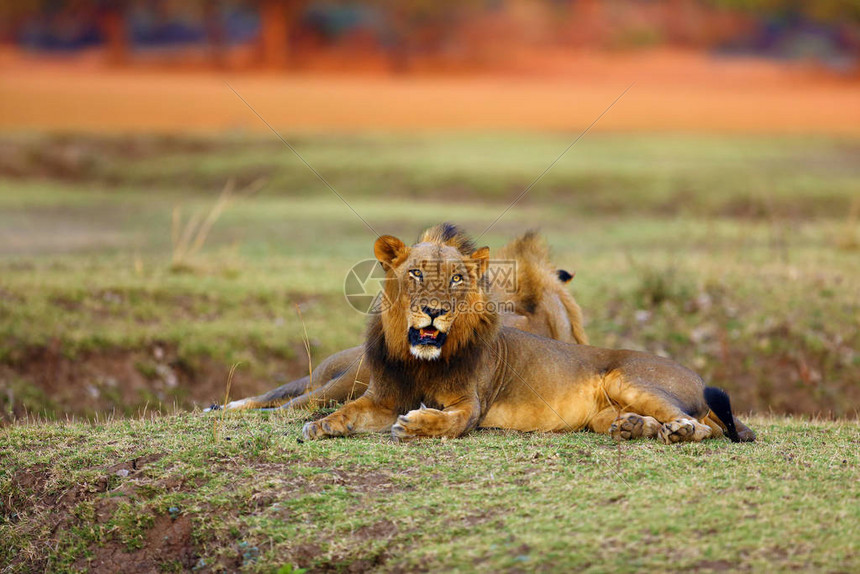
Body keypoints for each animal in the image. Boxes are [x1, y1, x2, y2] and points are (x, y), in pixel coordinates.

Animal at [304, 225, 752, 446]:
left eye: (456, 279)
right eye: (415, 273)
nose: (434, 311)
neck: (418, 360)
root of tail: (697, 377)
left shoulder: (470, 404)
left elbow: (450, 423)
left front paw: (414, 426)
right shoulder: (381, 398)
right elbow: (348, 411)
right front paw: (320, 426)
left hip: (630, 379)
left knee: (702, 427)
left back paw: (678, 431)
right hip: (603, 413)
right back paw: (633, 428)